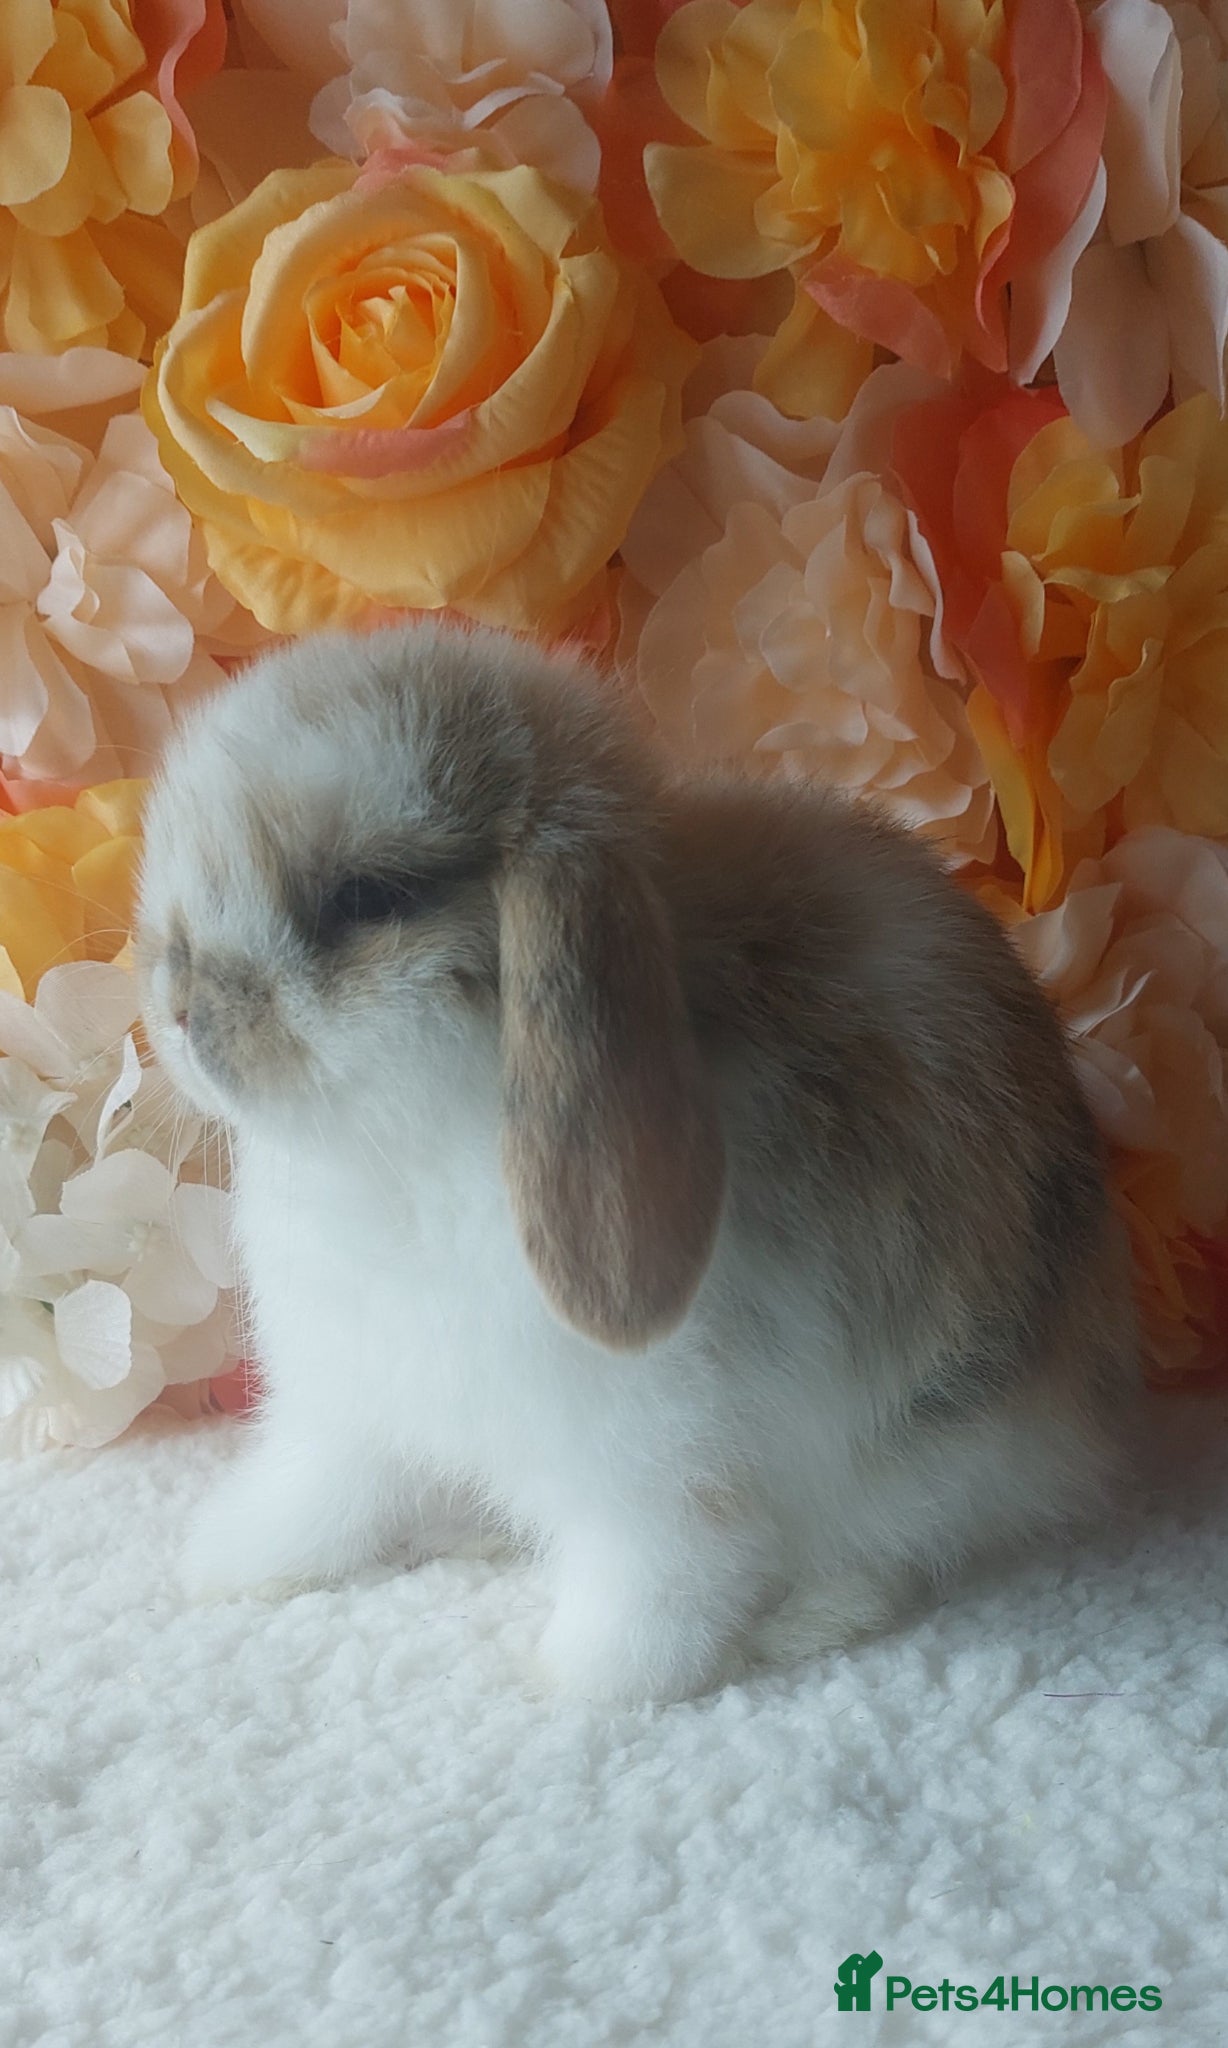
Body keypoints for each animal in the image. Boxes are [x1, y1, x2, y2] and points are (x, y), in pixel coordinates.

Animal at [136, 619, 1140, 1705]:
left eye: (367, 897)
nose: (180, 1005)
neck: (399, 1159)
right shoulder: (354, 1408)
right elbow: (330, 1491)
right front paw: (234, 1559)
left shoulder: (655, 1465)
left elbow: (663, 1571)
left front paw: (592, 1680)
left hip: (928, 1446)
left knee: (891, 1548)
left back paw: (800, 1620)